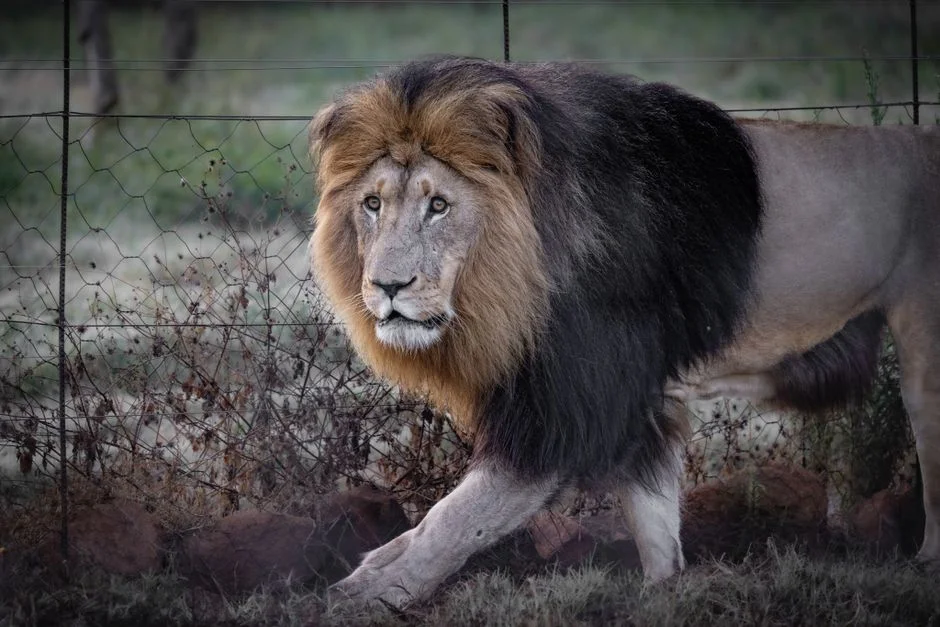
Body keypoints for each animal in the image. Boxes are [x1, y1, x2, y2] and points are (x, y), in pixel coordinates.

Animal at [308, 56, 940, 607]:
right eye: (372, 204)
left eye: (439, 205)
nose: (387, 286)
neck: (520, 273)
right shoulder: (638, 407)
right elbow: (655, 526)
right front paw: (666, 594)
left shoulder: (571, 413)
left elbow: (454, 519)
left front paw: (364, 592)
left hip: (924, 358)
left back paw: (926, 567)